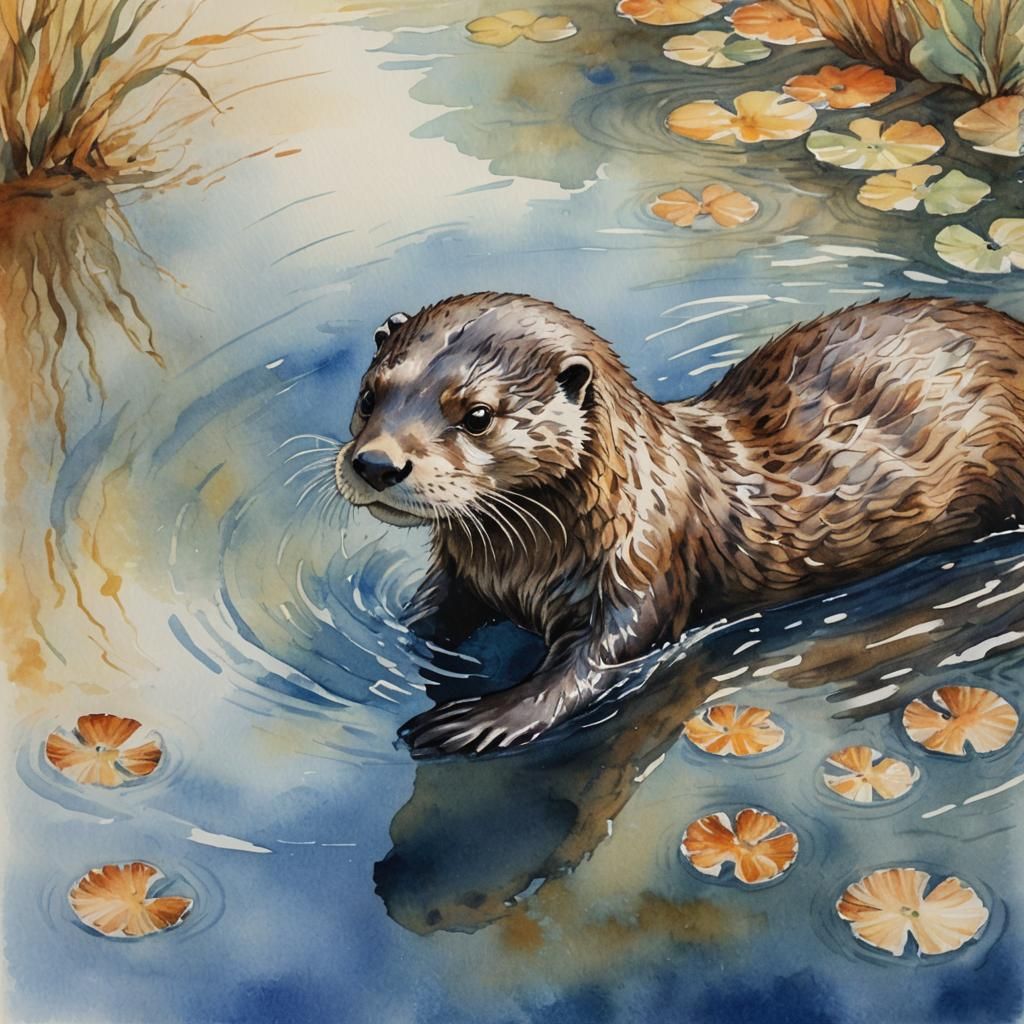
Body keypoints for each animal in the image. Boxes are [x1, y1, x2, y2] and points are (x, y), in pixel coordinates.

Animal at [334, 293, 1024, 755]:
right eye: (369, 395)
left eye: (477, 415)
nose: (377, 463)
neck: (521, 568)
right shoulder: (459, 571)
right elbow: (428, 617)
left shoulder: (645, 567)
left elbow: (592, 667)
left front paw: (480, 718)